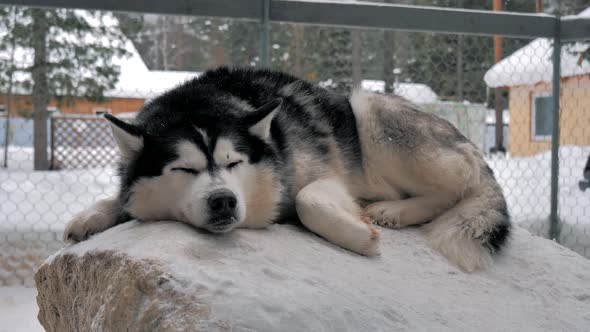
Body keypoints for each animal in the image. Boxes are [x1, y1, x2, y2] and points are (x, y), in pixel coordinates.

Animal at [63, 66, 508, 272]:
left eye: (234, 162)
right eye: (184, 170)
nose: (223, 201)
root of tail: (471, 146)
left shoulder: (325, 175)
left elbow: (309, 199)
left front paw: (359, 237)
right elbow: (120, 200)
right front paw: (92, 215)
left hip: (370, 111)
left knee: (455, 189)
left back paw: (396, 211)